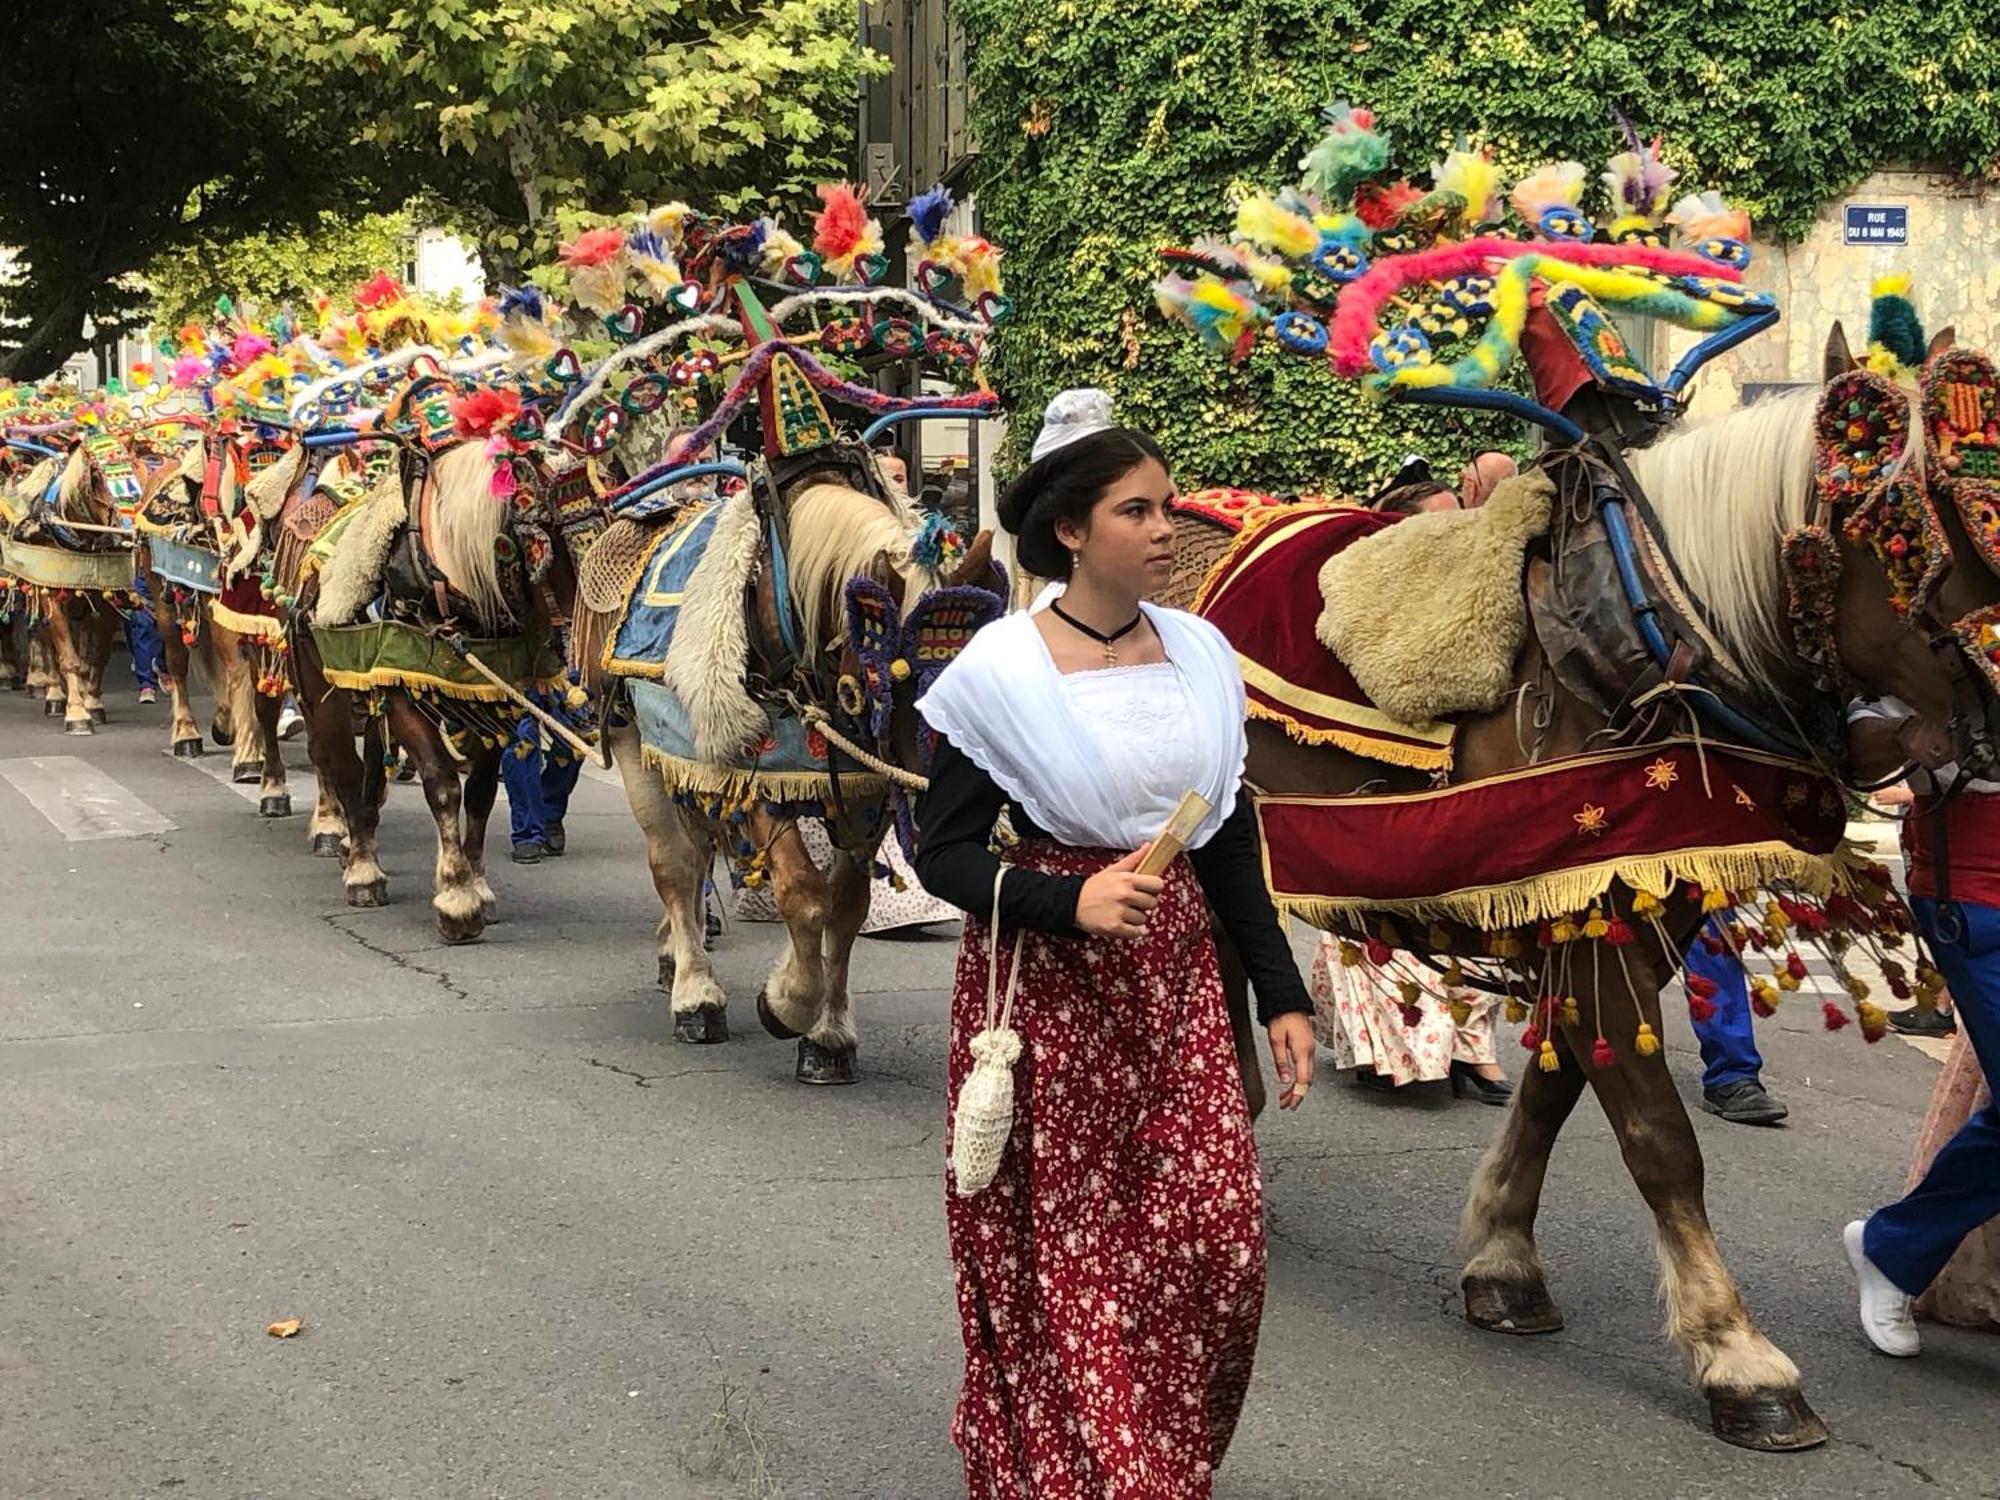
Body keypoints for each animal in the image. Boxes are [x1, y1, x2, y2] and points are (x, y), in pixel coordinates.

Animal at [1160, 346, 2000, 1448]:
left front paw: (1503, 1261)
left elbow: (1561, 1083)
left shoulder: (1617, 909)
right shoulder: (1595, 911)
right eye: (1916, 524)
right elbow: (1659, 1140)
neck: (1651, 645)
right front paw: (1738, 1355)